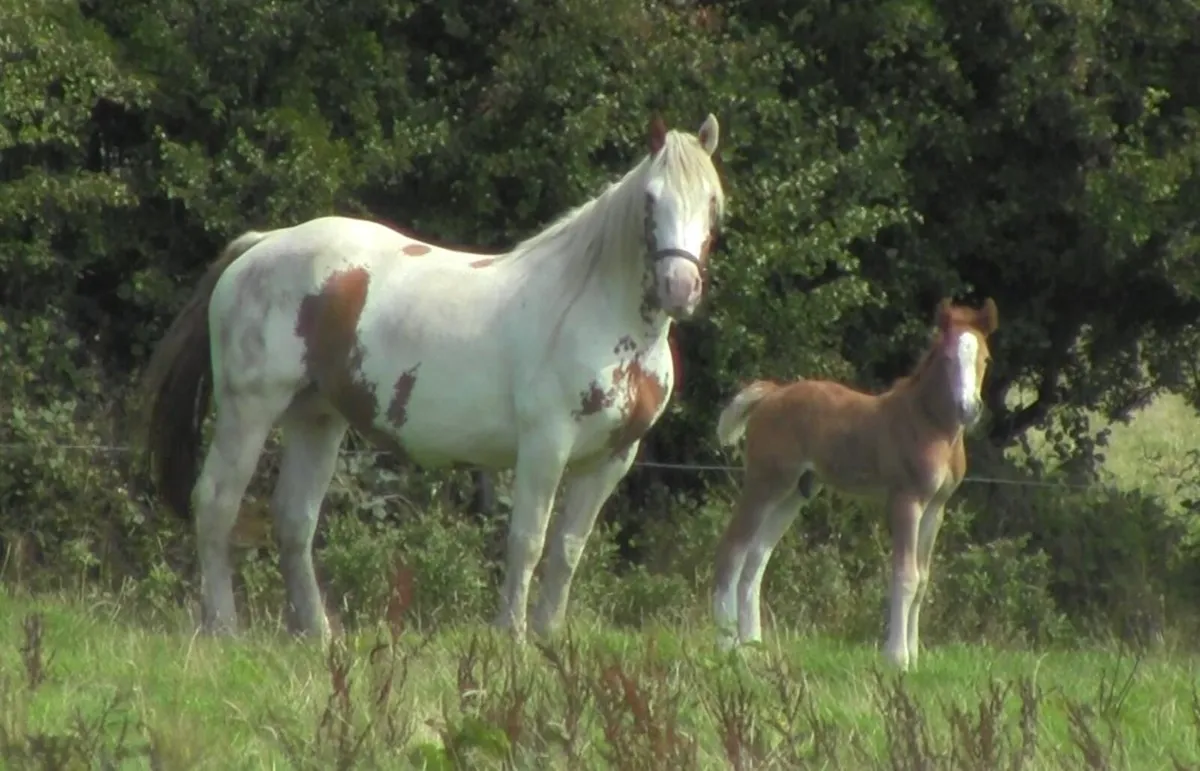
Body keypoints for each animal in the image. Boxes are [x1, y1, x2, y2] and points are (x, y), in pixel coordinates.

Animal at [141, 113, 726, 641]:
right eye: (651, 199)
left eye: (713, 205)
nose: (680, 287)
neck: (594, 310)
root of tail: (260, 246)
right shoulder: (545, 446)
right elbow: (528, 542)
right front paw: (511, 636)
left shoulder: (611, 459)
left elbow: (566, 550)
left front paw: (548, 639)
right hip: (249, 411)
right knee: (216, 504)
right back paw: (223, 628)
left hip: (317, 418)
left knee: (294, 521)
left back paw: (319, 634)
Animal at [710, 298, 999, 670]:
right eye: (947, 358)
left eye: (985, 359)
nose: (969, 409)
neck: (927, 424)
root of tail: (771, 395)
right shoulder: (906, 500)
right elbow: (905, 576)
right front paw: (897, 658)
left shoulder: (936, 507)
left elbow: (923, 579)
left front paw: (916, 655)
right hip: (764, 482)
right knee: (731, 551)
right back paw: (727, 646)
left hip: (795, 492)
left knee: (756, 558)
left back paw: (753, 646)